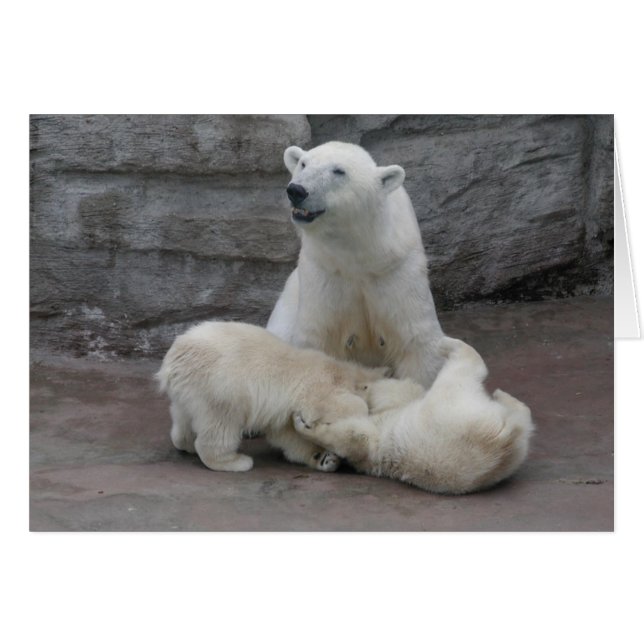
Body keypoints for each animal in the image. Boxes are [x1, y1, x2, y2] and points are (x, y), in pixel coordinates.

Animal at [155, 321, 389, 473]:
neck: (345, 372)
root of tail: (172, 363)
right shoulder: (318, 385)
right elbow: (331, 404)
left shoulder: (284, 415)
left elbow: (288, 436)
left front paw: (324, 458)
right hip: (222, 386)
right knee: (221, 424)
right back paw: (235, 462)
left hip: (190, 391)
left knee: (183, 416)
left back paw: (185, 442)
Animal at [267, 141, 445, 389]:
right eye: (303, 163)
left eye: (338, 171)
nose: (297, 190)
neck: (358, 255)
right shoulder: (324, 269)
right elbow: (315, 338)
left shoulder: (397, 268)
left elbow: (417, 341)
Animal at [293, 337, 535, 494]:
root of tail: (502, 438)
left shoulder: (385, 420)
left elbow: (355, 435)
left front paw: (303, 423)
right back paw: (504, 397)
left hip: (445, 409)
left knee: (458, 372)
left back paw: (447, 344)